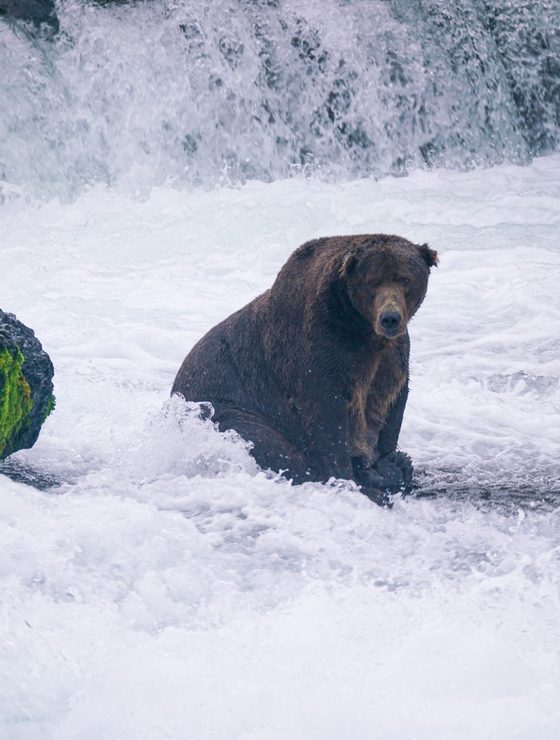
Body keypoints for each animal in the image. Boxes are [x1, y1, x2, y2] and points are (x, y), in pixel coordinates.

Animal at [172, 234, 438, 503]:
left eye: (405, 279)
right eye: (373, 281)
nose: (390, 318)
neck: (362, 328)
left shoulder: (391, 359)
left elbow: (392, 404)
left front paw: (388, 463)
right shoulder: (319, 351)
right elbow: (325, 418)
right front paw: (352, 480)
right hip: (225, 404)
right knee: (262, 440)